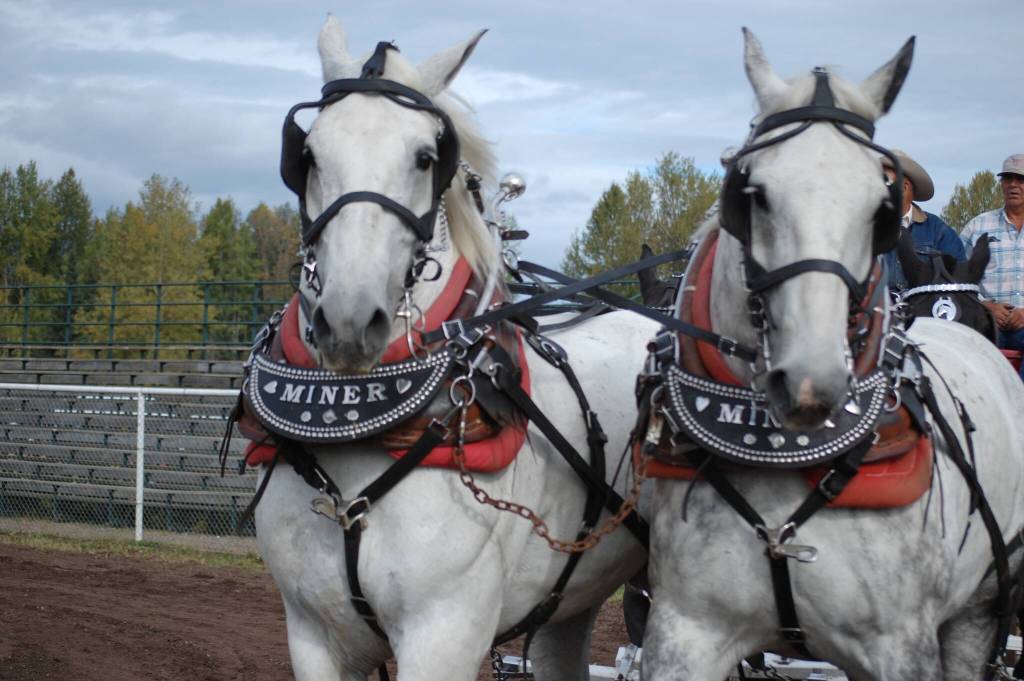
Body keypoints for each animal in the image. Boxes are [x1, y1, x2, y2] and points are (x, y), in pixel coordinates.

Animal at [250, 17, 656, 681]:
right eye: (305, 156)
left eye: (425, 157)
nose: (349, 320)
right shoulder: (311, 632)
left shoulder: (445, 633)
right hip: (572, 596)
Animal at [638, 29, 1024, 681]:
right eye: (753, 193)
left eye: (880, 207)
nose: (809, 383)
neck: (784, 451)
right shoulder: (684, 634)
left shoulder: (899, 646)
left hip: (981, 606)